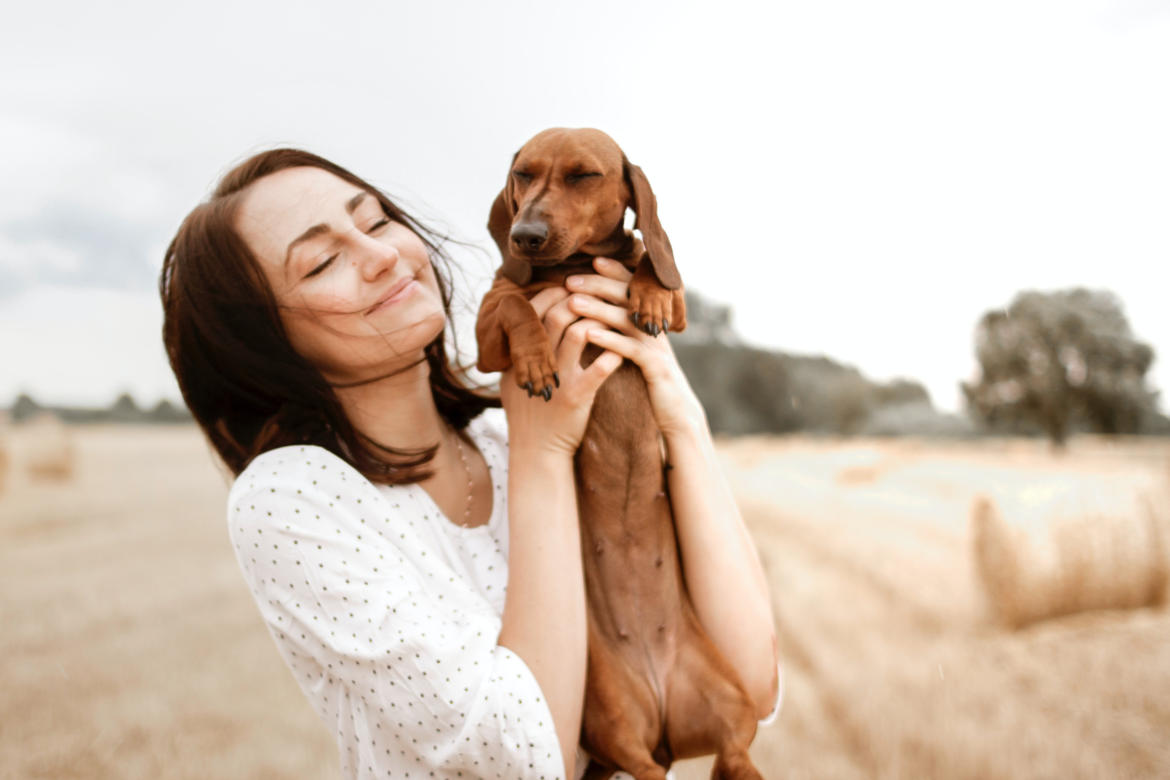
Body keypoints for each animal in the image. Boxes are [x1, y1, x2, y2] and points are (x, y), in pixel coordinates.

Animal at [477, 129, 767, 780]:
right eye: (523, 174)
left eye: (584, 175)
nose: (524, 236)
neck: (573, 265)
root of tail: (661, 713)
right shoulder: (486, 339)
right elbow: (515, 304)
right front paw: (536, 358)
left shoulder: (677, 311)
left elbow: (654, 272)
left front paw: (648, 294)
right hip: (614, 717)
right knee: (653, 768)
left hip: (734, 706)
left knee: (735, 753)